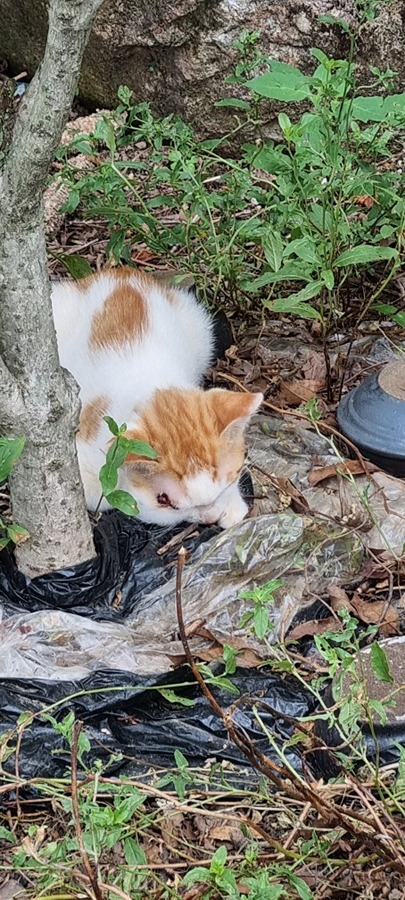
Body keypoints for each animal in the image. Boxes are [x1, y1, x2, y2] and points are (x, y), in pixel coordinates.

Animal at [52, 270, 262, 532]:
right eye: (166, 501)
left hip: (198, 324)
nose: (209, 517)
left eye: (225, 484)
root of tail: (120, 272)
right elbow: (99, 495)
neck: (149, 381)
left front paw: (231, 505)